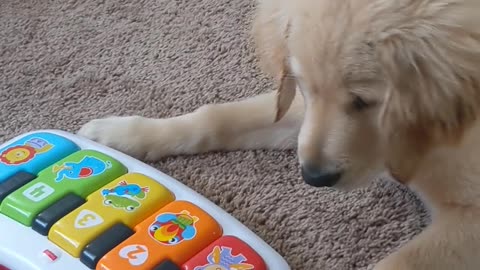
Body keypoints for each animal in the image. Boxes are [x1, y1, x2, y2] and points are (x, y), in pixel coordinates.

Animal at [77, 0, 480, 268]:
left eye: (364, 102)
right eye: (302, 84)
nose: (313, 177)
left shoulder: (469, 221)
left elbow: (399, 262)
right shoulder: (301, 114)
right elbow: (216, 118)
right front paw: (126, 132)